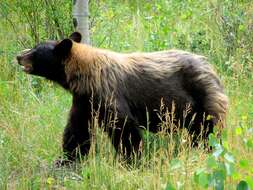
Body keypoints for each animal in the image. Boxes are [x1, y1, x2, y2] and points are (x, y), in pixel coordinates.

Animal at [16, 31, 228, 165]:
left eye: (36, 49)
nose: (18, 55)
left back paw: (208, 150)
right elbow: (77, 130)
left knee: (208, 129)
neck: (86, 76)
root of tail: (211, 68)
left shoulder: (109, 93)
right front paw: (66, 159)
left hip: (203, 98)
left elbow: (123, 127)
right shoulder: (84, 101)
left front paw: (131, 160)